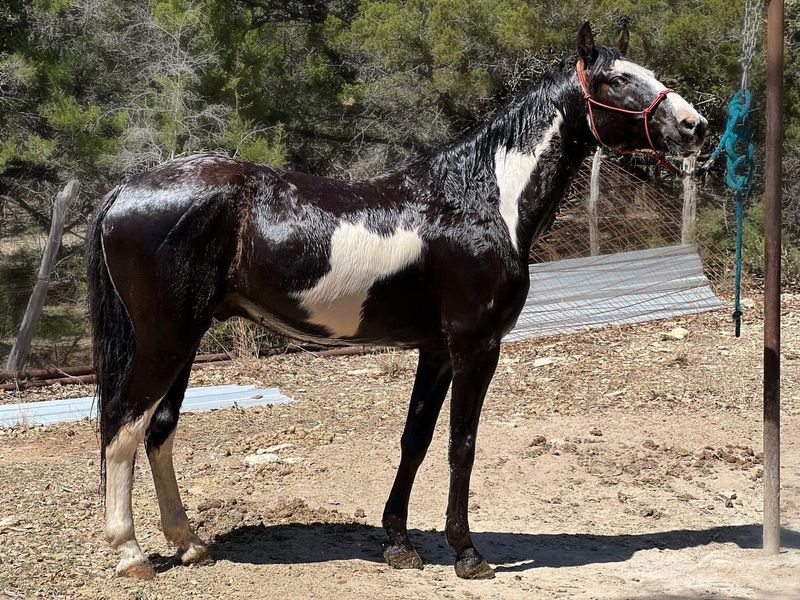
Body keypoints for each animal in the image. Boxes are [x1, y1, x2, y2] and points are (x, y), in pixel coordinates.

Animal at [84, 24, 704, 580]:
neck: (481, 197)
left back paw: (190, 544)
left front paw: (399, 544)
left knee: (159, 430)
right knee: (123, 427)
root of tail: (124, 191)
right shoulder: (477, 346)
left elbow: (416, 440)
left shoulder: (437, 350)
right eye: (619, 80)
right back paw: (132, 555)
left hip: (186, 339)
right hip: (165, 338)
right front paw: (467, 554)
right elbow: (461, 444)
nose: (695, 126)